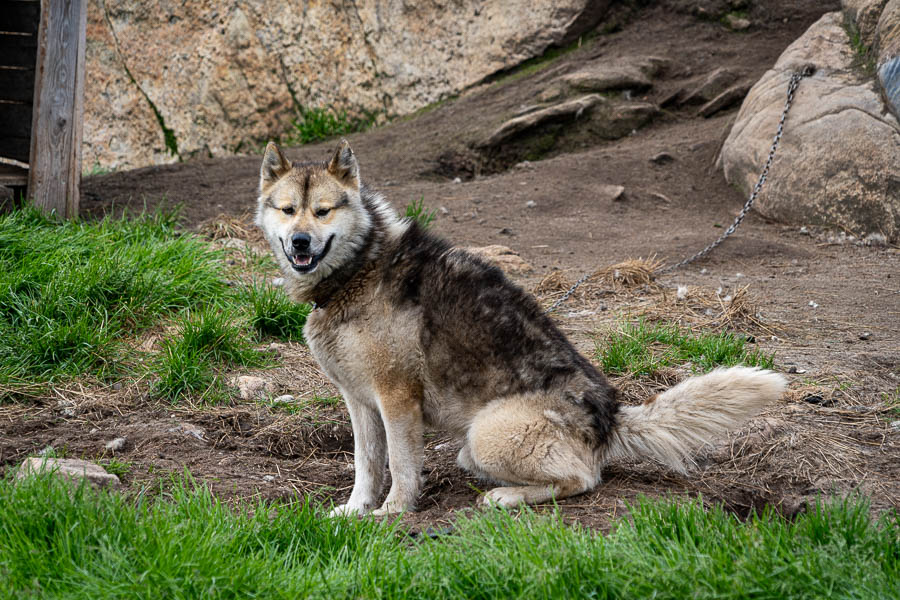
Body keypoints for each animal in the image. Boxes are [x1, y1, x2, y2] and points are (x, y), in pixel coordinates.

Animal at [255, 141, 788, 516]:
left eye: (323, 211)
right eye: (288, 210)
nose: (300, 242)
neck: (360, 269)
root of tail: (611, 418)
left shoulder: (397, 398)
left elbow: (402, 468)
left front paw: (394, 513)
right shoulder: (361, 402)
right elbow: (367, 466)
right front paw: (355, 511)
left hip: (484, 436)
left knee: (584, 480)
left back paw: (505, 498)